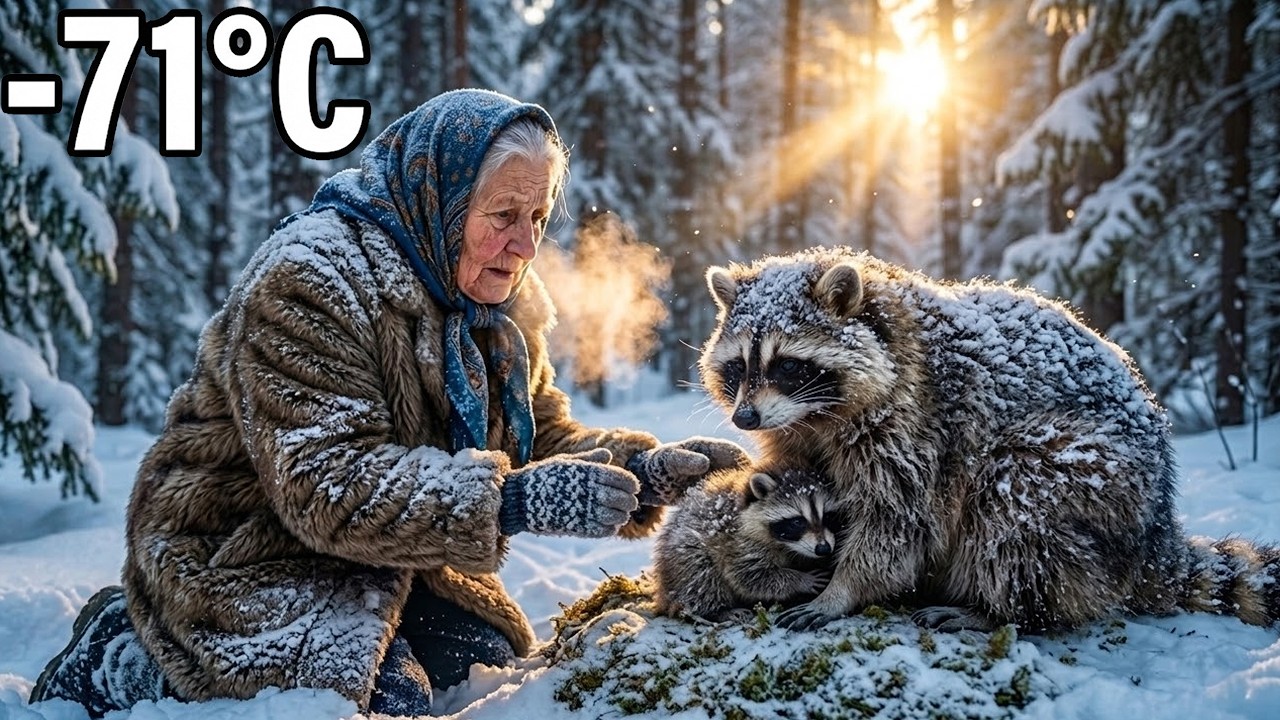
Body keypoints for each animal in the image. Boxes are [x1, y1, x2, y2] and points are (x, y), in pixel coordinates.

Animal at [652, 465, 840, 620]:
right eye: (797, 522)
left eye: (828, 517)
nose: (823, 549)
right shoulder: (739, 542)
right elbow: (750, 576)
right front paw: (801, 580)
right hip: (683, 553)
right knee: (701, 577)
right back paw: (716, 611)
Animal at [698, 246, 1280, 632]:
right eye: (738, 367)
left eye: (788, 365)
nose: (745, 418)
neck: (817, 414)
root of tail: (1157, 534)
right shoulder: (795, 428)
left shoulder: (917, 423)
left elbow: (897, 522)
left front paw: (844, 588)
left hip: (1100, 479)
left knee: (1014, 498)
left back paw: (1002, 610)